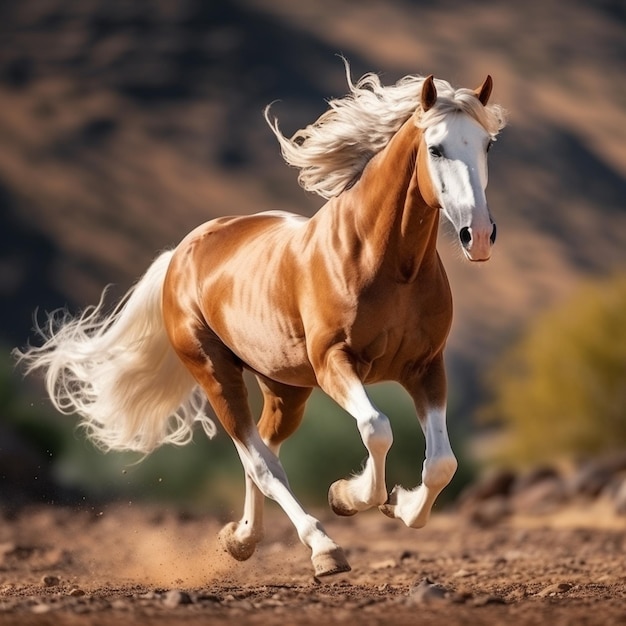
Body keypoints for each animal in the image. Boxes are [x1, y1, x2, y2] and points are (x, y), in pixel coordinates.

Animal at [13, 63, 502, 576]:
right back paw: (323, 548)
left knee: (267, 449)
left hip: (285, 388)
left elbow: (442, 464)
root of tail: (180, 254)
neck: (383, 260)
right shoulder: (334, 363)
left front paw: (400, 505)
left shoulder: (425, 367)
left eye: (487, 144)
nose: (478, 235)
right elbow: (377, 428)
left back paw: (242, 539)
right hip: (216, 374)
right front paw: (349, 496)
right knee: (261, 462)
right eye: (436, 148)